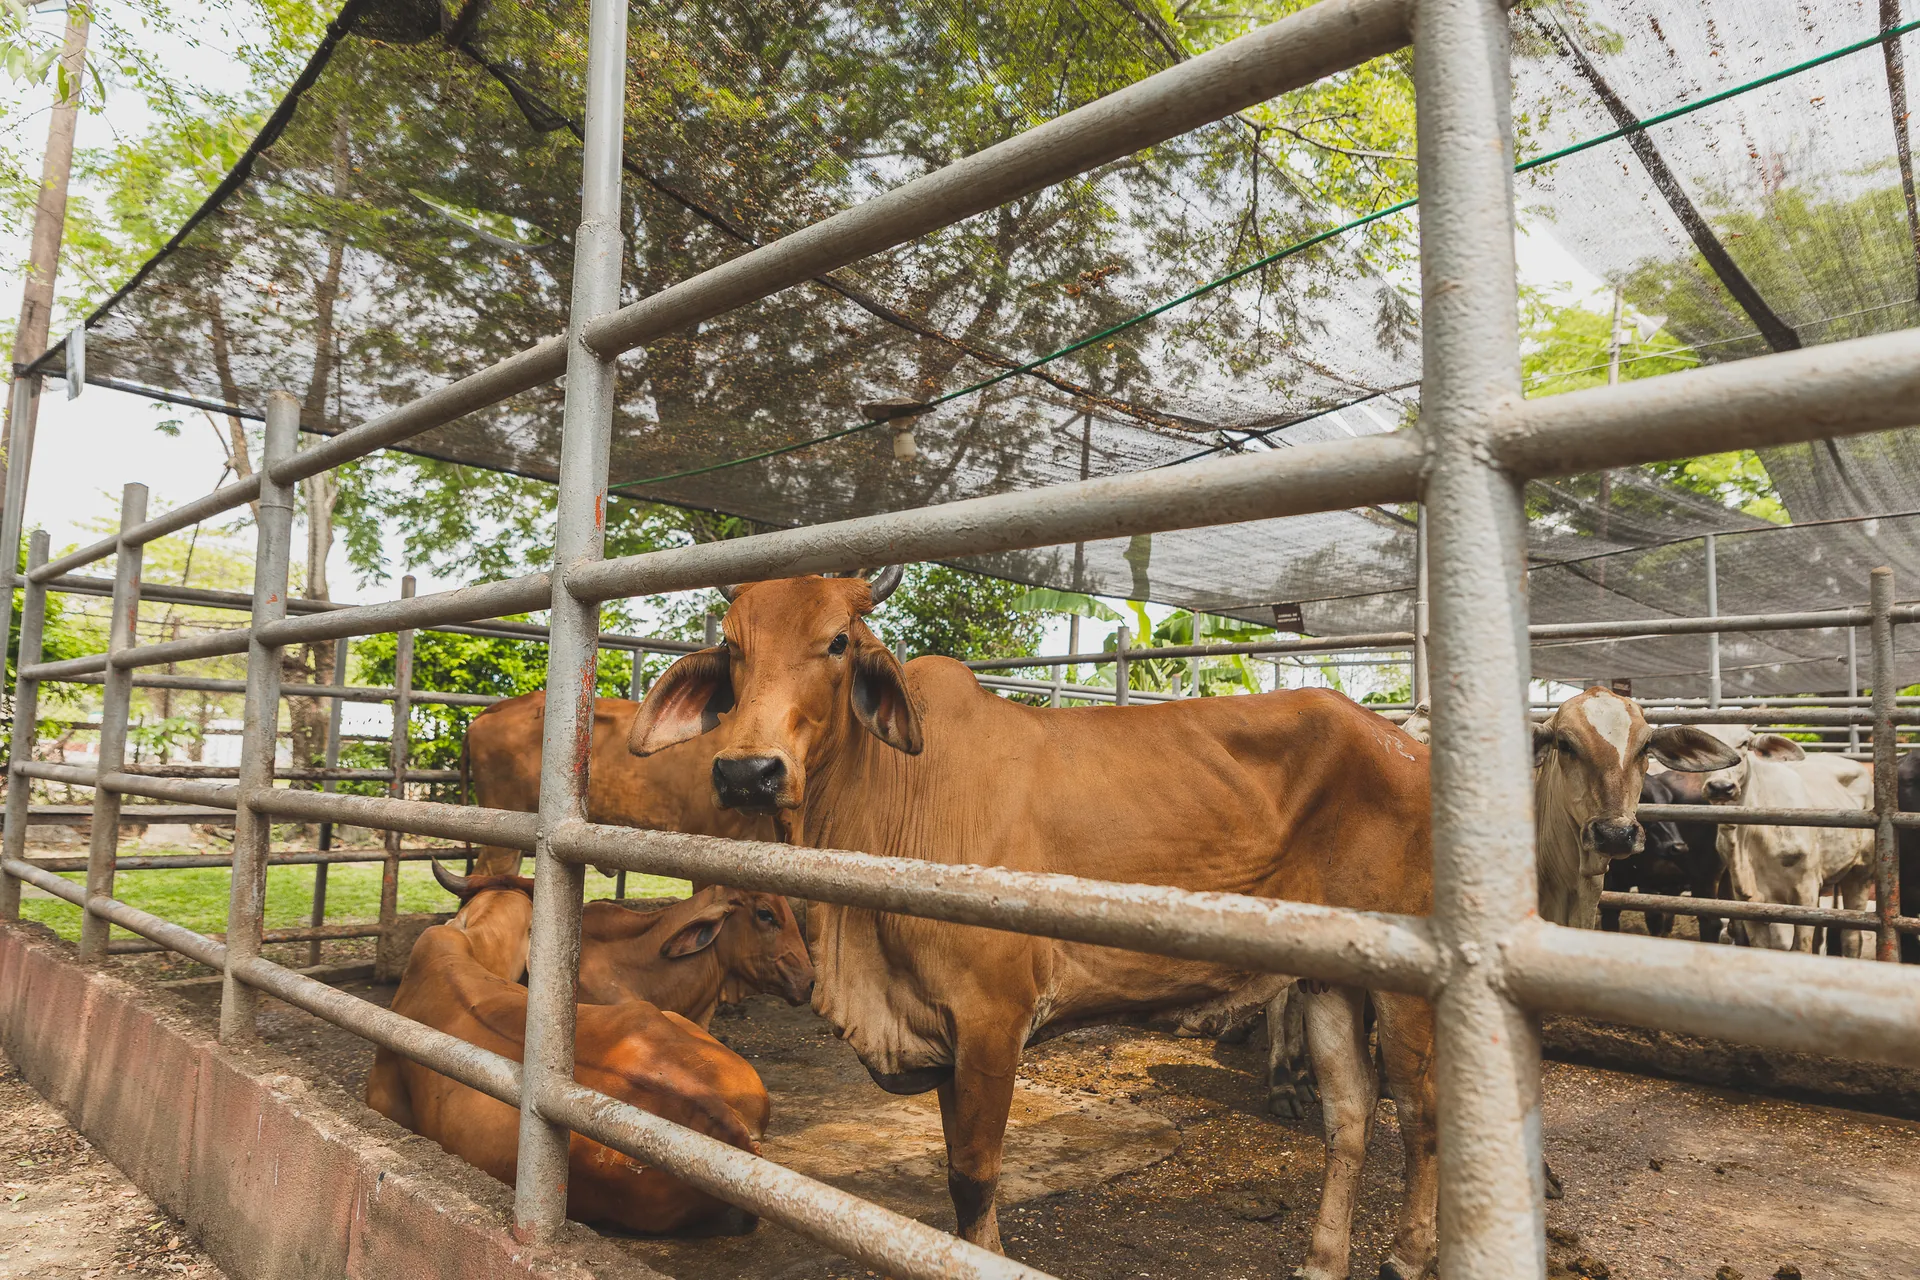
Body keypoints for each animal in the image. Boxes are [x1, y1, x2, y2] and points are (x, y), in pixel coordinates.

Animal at [628, 573, 1437, 1280]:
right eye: (733, 647)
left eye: (836, 642)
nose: (747, 773)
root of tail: (1400, 741)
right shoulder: (945, 1030)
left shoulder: (993, 1020)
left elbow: (974, 1177)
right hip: (1329, 979)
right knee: (1350, 1116)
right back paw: (1323, 1260)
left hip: (1407, 988)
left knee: (1419, 1113)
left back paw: (1405, 1255)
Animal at [1701, 731, 1875, 955]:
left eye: (1744, 743)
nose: (1720, 787)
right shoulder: (1745, 897)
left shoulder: (1806, 890)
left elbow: (1800, 947)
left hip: (1860, 873)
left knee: (1851, 936)